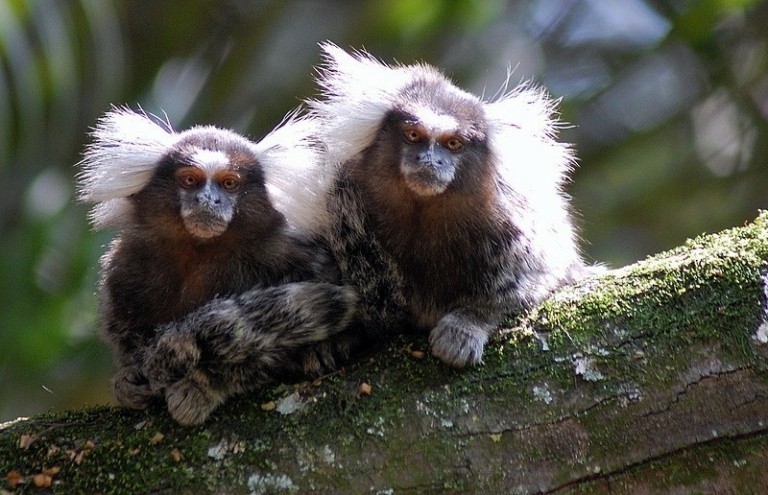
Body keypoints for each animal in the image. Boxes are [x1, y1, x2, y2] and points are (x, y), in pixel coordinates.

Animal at [79, 109, 356, 426]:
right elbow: (124, 328)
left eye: (229, 183)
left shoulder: (290, 251)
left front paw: (203, 384)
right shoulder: (126, 262)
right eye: (190, 180)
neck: (200, 251)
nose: (208, 200)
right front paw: (128, 378)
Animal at [304, 43, 588, 368]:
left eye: (453, 144)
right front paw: (341, 339)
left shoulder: (516, 227)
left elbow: (535, 283)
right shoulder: (343, 205)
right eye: (413, 136)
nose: (430, 160)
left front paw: (467, 324)